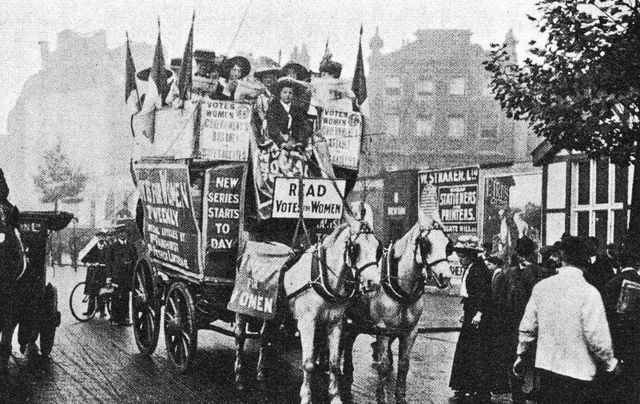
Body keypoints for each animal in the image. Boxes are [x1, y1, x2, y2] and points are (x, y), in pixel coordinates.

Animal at [236, 216, 382, 404]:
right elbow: (308, 363)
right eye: (355, 247)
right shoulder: (307, 324)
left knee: (265, 337)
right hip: (242, 306)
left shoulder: (335, 324)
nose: (374, 283)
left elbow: (334, 363)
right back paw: (239, 376)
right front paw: (306, 396)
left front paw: (335, 396)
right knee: (240, 337)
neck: (323, 277)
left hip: (274, 313)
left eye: (378, 248)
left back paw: (261, 373)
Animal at [342, 213, 452, 402]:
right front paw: (381, 395)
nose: (446, 276)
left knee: (348, 342)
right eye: (426, 243)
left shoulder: (410, 331)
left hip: (355, 321)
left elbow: (404, 364)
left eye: (447, 244)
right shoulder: (383, 331)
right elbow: (383, 364)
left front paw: (400, 396)